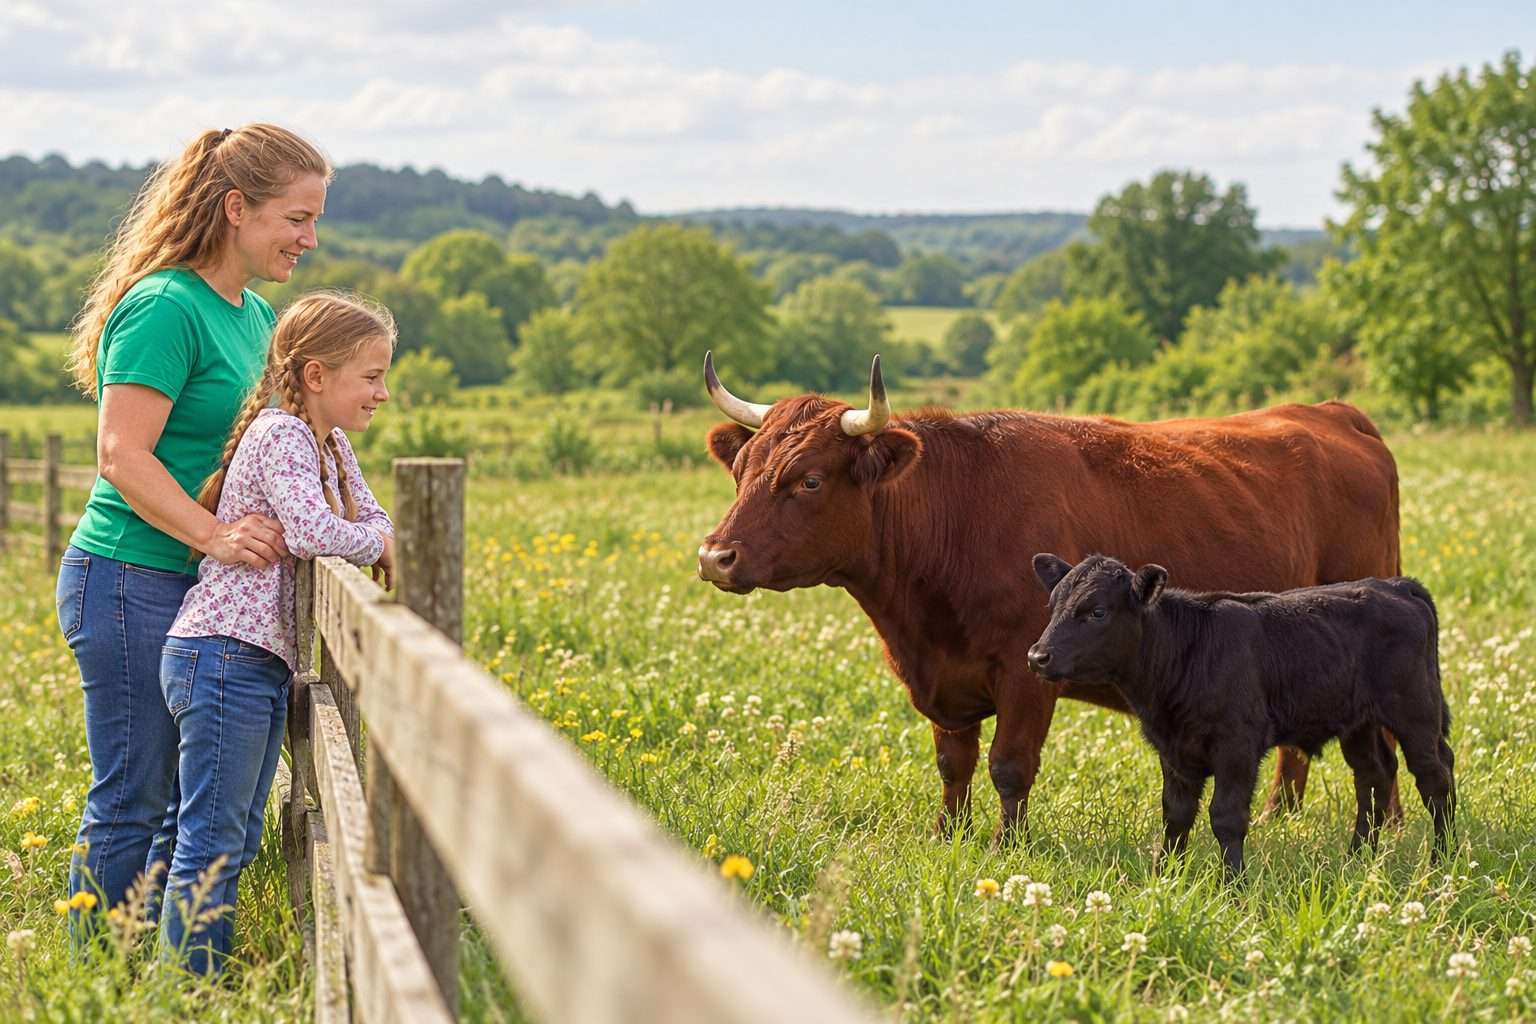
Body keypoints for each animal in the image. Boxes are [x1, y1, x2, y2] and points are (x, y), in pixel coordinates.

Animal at [697, 353, 1401, 840]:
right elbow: (953, 764)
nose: (714, 556)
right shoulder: (942, 680)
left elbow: (1009, 765)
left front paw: (1006, 847)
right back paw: (1285, 813)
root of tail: (1331, 412)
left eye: (810, 480)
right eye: (742, 471)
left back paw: (1389, 825)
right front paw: (949, 838)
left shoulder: (1026, 670)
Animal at [1026, 553, 1455, 875]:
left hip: (1415, 711)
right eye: (1052, 606)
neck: (1187, 650)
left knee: (1435, 778)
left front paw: (1233, 886)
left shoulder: (1237, 746)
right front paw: (1166, 878)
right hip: (1357, 723)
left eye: (1097, 612)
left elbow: (1226, 816)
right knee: (1374, 775)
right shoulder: (1173, 749)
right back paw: (1358, 857)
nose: (1036, 656)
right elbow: (1176, 814)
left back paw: (1441, 861)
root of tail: (1396, 585)